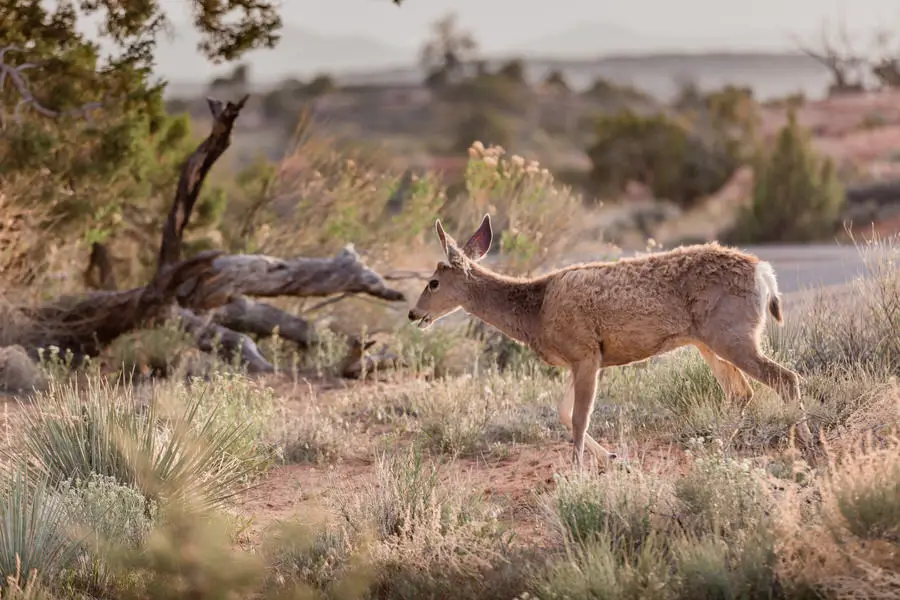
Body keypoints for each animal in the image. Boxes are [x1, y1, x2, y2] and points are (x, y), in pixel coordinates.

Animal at [412, 213, 820, 472]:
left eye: (433, 282)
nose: (414, 314)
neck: (536, 310)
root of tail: (763, 273)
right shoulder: (580, 359)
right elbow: (564, 413)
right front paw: (610, 459)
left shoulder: (586, 352)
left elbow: (579, 417)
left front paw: (574, 474)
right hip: (710, 342)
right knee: (741, 393)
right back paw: (719, 450)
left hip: (733, 335)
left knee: (785, 378)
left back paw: (809, 449)